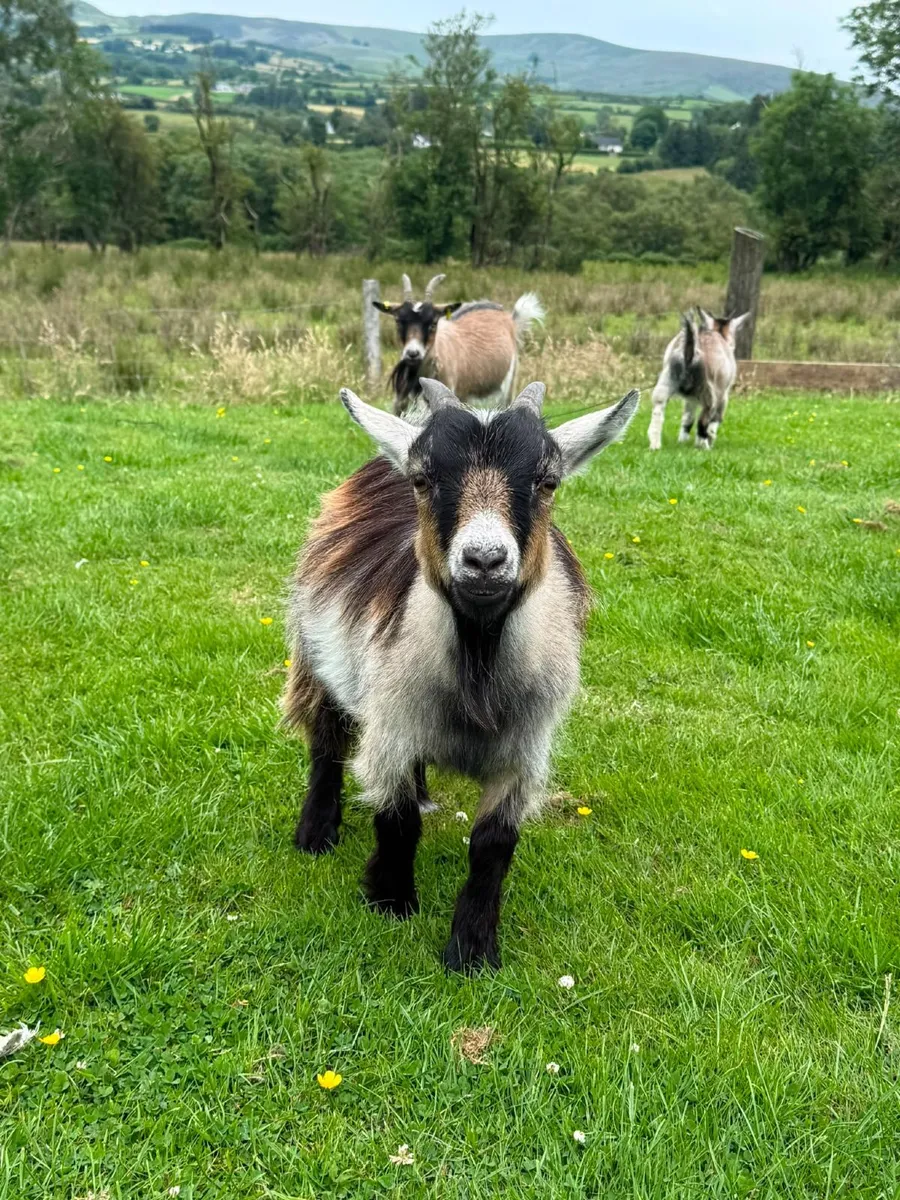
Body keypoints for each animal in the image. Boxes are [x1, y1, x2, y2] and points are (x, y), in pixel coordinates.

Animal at [282, 377, 639, 971]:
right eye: (423, 480)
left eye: (547, 482)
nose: (485, 561)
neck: (478, 665)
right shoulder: (392, 729)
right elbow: (397, 820)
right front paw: (391, 901)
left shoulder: (523, 750)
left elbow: (493, 843)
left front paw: (472, 950)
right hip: (314, 650)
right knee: (325, 739)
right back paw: (316, 831)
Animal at [647, 308, 750, 451]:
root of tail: (690, 352)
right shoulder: (723, 394)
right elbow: (715, 419)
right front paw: (710, 438)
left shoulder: (690, 399)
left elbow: (688, 418)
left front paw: (682, 441)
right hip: (709, 391)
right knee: (704, 420)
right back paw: (704, 446)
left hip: (665, 382)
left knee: (658, 410)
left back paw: (655, 445)